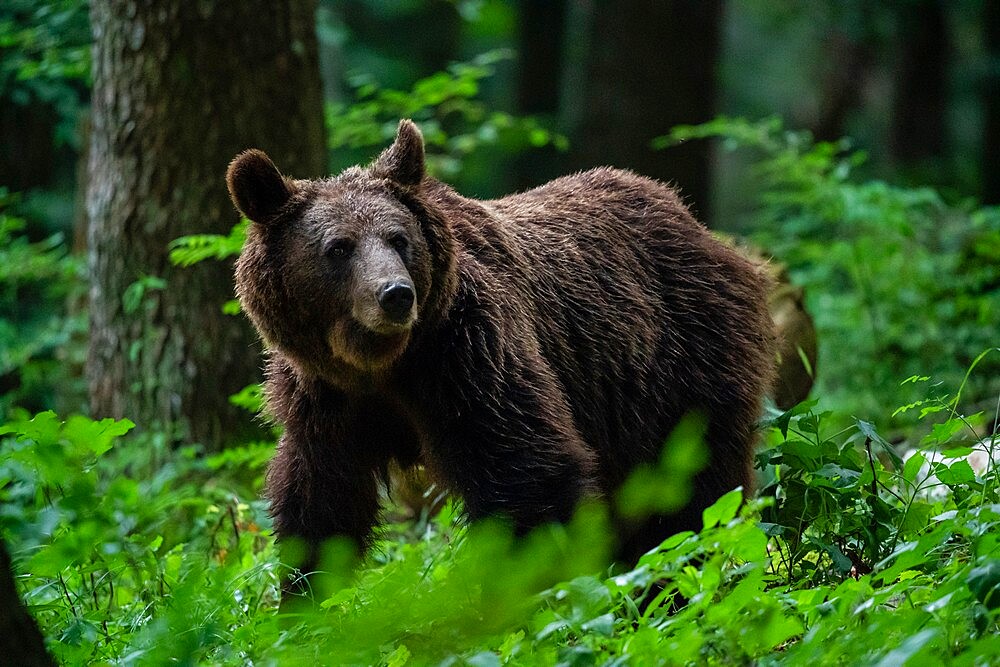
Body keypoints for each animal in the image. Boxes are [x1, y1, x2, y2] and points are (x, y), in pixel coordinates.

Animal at [227, 121, 772, 596]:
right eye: (338, 247)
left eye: (399, 239)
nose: (395, 295)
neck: (382, 366)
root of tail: (693, 220)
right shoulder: (325, 400)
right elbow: (321, 504)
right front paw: (302, 603)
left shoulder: (468, 358)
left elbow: (527, 472)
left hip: (680, 362)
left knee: (692, 487)